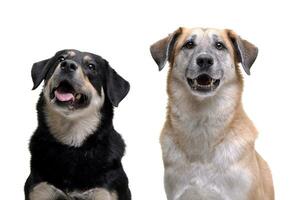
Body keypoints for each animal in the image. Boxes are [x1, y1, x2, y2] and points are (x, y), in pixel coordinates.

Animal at [24, 49, 130, 200]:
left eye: (91, 66)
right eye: (60, 58)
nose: (67, 65)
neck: (71, 145)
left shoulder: (104, 192)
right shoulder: (40, 190)